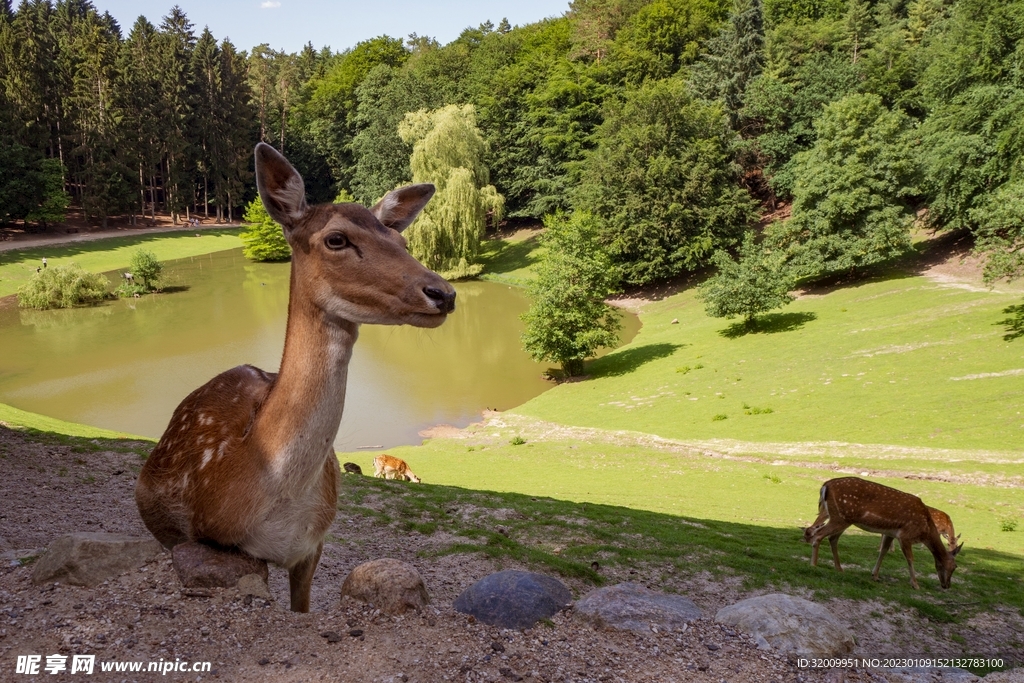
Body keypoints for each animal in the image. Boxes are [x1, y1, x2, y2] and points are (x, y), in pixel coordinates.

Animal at [802, 477, 962, 590]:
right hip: (840, 517)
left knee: (832, 538)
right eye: (954, 567)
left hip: (841, 517)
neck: (925, 531)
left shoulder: (891, 533)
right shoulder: (905, 535)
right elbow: (910, 559)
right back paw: (813, 564)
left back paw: (839, 568)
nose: (947, 585)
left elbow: (883, 551)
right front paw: (915, 584)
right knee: (819, 534)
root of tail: (825, 486)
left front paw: (875, 575)